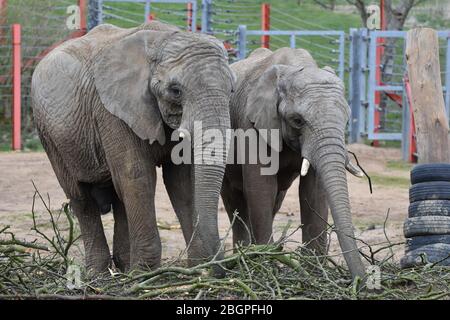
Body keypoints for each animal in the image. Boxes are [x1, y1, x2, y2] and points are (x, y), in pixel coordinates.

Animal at [31, 21, 234, 274]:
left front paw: (196, 269)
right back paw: (100, 274)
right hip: (50, 135)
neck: (161, 39)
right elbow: (137, 176)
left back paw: (124, 268)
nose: (220, 267)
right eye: (175, 90)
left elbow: (181, 181)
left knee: (118, 196)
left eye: (232, 90)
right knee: (81, 197)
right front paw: (145, 273)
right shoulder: (110, 112)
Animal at [221, 47, 366, 280]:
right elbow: (261, 187)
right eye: (297, 120)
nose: (362, 280)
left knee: (275, 200)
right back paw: (245, 261)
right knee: (235, 200)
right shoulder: (251, 123)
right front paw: (266, 266)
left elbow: (314, 191)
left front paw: (314, 271)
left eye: (345, 121)